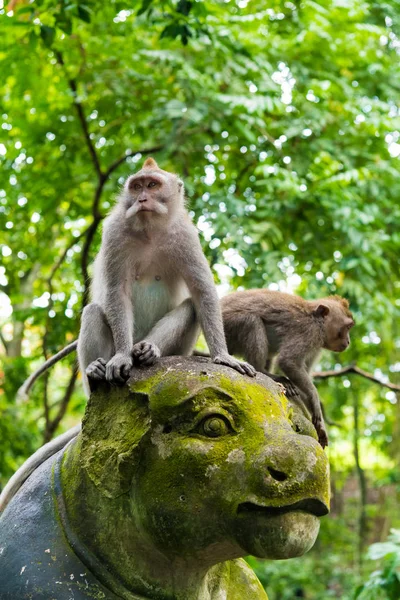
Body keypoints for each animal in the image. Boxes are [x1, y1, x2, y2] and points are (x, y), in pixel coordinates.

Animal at [18, 156, 253, 398]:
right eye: (137, 186)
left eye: (152, 185)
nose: (141, 198)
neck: (149, 230)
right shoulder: (114, 233)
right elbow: (116, 291)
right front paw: (122, 356)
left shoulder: (185, 236)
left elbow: (201, 290)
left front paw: (223, 356)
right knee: (92, 312)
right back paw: (95, 372)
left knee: (190, 308)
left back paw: (148, 349)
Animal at [220, 288, 354, 448]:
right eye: (347, 327)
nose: (348, 341)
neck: (316, 320)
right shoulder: (309, 332)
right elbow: (288, 361)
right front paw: (315, 399)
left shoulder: (317, 345)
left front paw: (321, 426)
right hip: (228, 325)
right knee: (251, 320)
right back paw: (265, 372)